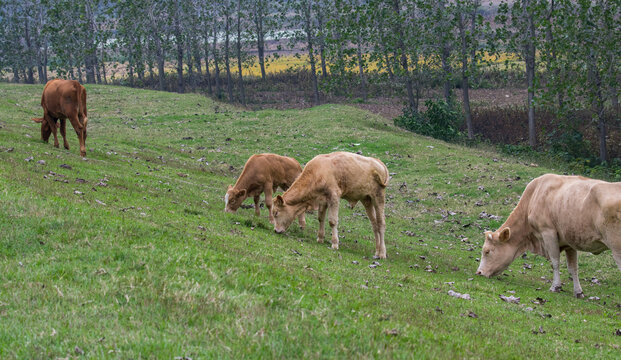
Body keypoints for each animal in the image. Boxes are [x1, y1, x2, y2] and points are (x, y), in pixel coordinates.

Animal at [474, 173, 620, 296]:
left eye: (487, 251)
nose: (479, 272)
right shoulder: (569, 242)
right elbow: (573, 268)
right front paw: (578, 292)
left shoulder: (548, 232)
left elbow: (555, 262)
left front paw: (555, 286)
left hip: (616, 247)